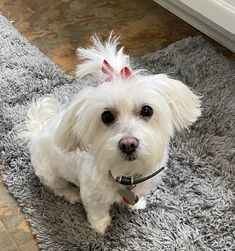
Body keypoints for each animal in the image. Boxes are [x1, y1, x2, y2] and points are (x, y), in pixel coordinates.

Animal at [22, 34, 201, 234]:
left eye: (147, 110)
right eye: (106, 116)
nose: (128, 144)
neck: (126, 174)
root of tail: (37, 133)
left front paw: (135, 205)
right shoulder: (92, 195)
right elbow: (97, 211)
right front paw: (100, 226)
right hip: (50, 174)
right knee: (58, 188)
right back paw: (71, 194)